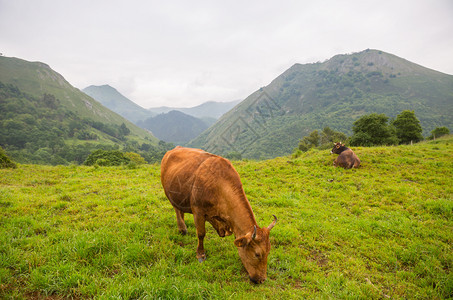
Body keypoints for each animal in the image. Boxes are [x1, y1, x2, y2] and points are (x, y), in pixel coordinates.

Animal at [161, 147, 278, 284]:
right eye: (257, 254)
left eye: (269, 252)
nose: (262, 279)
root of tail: (174, 149)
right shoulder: (198, 211)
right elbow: (201, 234)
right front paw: (200, 254)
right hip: (169, 193)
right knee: (176, 209)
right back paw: (182, 228)